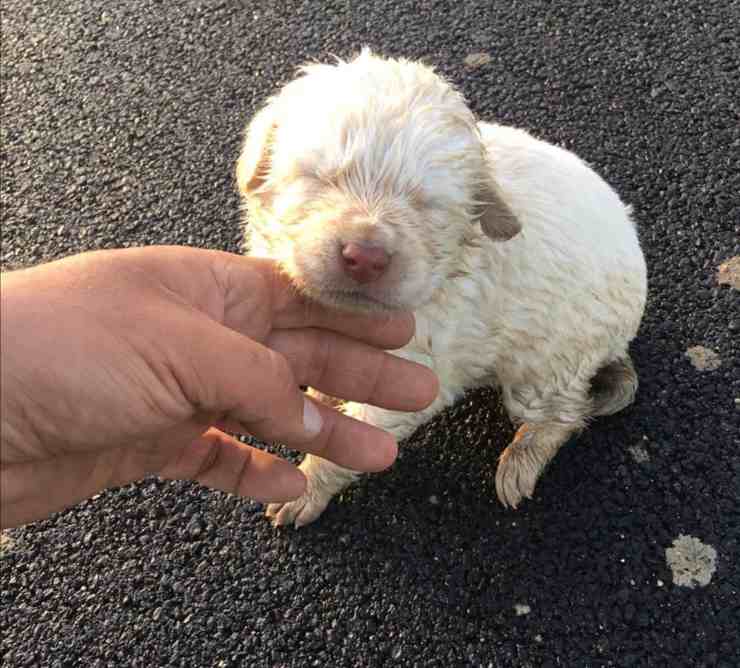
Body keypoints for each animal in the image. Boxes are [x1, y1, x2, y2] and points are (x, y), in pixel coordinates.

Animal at [234, 49, 644, 528]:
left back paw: (520, 461)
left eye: (426, 204)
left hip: (546, 366)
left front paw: (305, 489)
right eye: (318, 178)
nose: (365, 256)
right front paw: (322, 395)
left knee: (565, 415)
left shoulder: (412, 375)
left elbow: (347, 444)